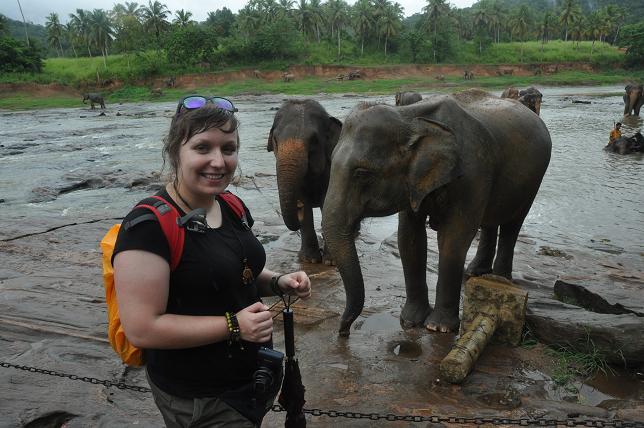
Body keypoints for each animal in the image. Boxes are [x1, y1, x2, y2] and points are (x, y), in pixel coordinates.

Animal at [268, 99, 344, 264]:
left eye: (313, 140)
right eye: (275, 139)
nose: (298, 207)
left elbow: (326, 203)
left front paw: (331, 261)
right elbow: (305, 204)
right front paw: (309, 260)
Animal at [320, 88, 552, 336]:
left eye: (362, 173)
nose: (343, 331)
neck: (409, 118)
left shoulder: (472, 173)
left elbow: (453, 238)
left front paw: (438, 327)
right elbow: (409, 237)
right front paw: (410, 321)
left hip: (534, 180)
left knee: (513, 224)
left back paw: (499, 280)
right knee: (490, 221)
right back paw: (475, 273)